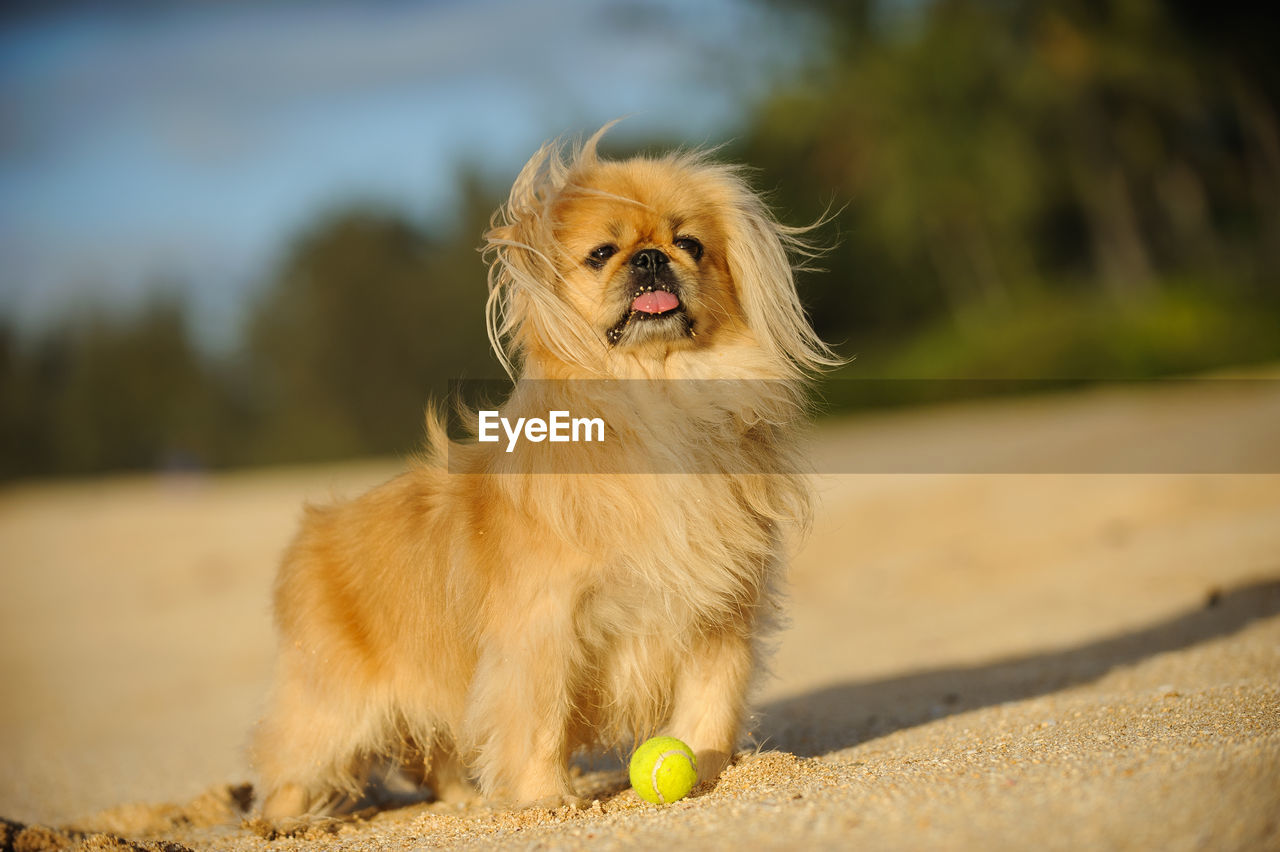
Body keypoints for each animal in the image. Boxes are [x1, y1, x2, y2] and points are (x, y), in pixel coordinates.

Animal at [249, 122, 839, 813]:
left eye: (689, 244)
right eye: (602, 253)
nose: (650, 257)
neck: (658, 401)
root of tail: (314, 532)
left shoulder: (716, 615)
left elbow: (708, 708)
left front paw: (711, 773)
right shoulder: (543, 630)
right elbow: (537, 722)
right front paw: (546, 800)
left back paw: (464, 802)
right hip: (334, 706)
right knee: (293, 760)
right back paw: (289, 821)